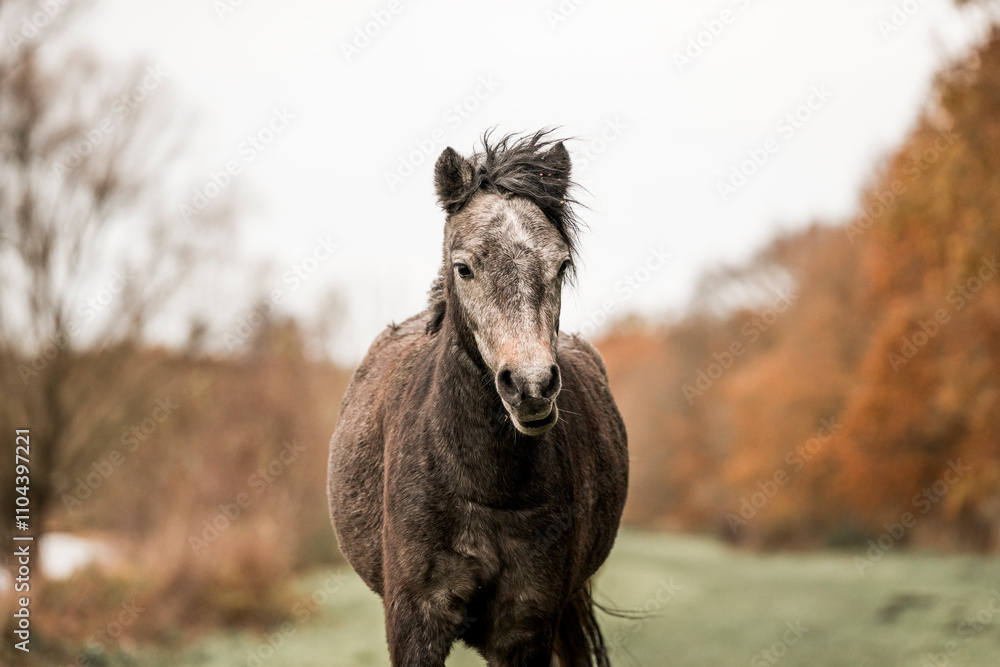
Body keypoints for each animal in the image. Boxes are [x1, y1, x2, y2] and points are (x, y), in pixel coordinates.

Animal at [328, 130, 629, 667]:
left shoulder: (525, 627)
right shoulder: (416, 622)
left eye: (561, 265)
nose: (531, 386)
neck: (483, 484)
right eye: (463, 267)